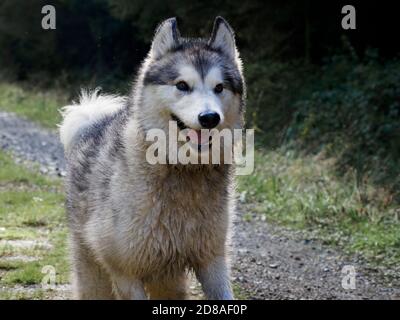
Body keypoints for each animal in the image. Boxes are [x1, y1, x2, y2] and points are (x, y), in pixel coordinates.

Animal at [59, 16, 245, 298]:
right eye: (182, 85)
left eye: (219, 87)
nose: (209, 118)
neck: (181, 168)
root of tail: (94, 122)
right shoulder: (126, 273)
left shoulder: (212, 261)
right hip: (94, 275)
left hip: (169, 280)